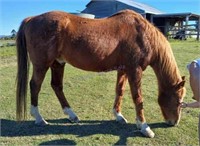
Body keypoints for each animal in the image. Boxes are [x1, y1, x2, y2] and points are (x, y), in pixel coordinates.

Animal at [15, 9, 186, 137]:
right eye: (178, 100)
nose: (174, 122)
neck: (143, 34)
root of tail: (31, 19)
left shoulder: (123, 70)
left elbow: (119, 91)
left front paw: (118, 115)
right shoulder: (134, 70)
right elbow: (138, 98)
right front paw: (144, 127)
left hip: (58, 63)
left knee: (56, 86)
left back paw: (71, 115)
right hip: (42, 65)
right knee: (35, 86)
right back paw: (39, 118)